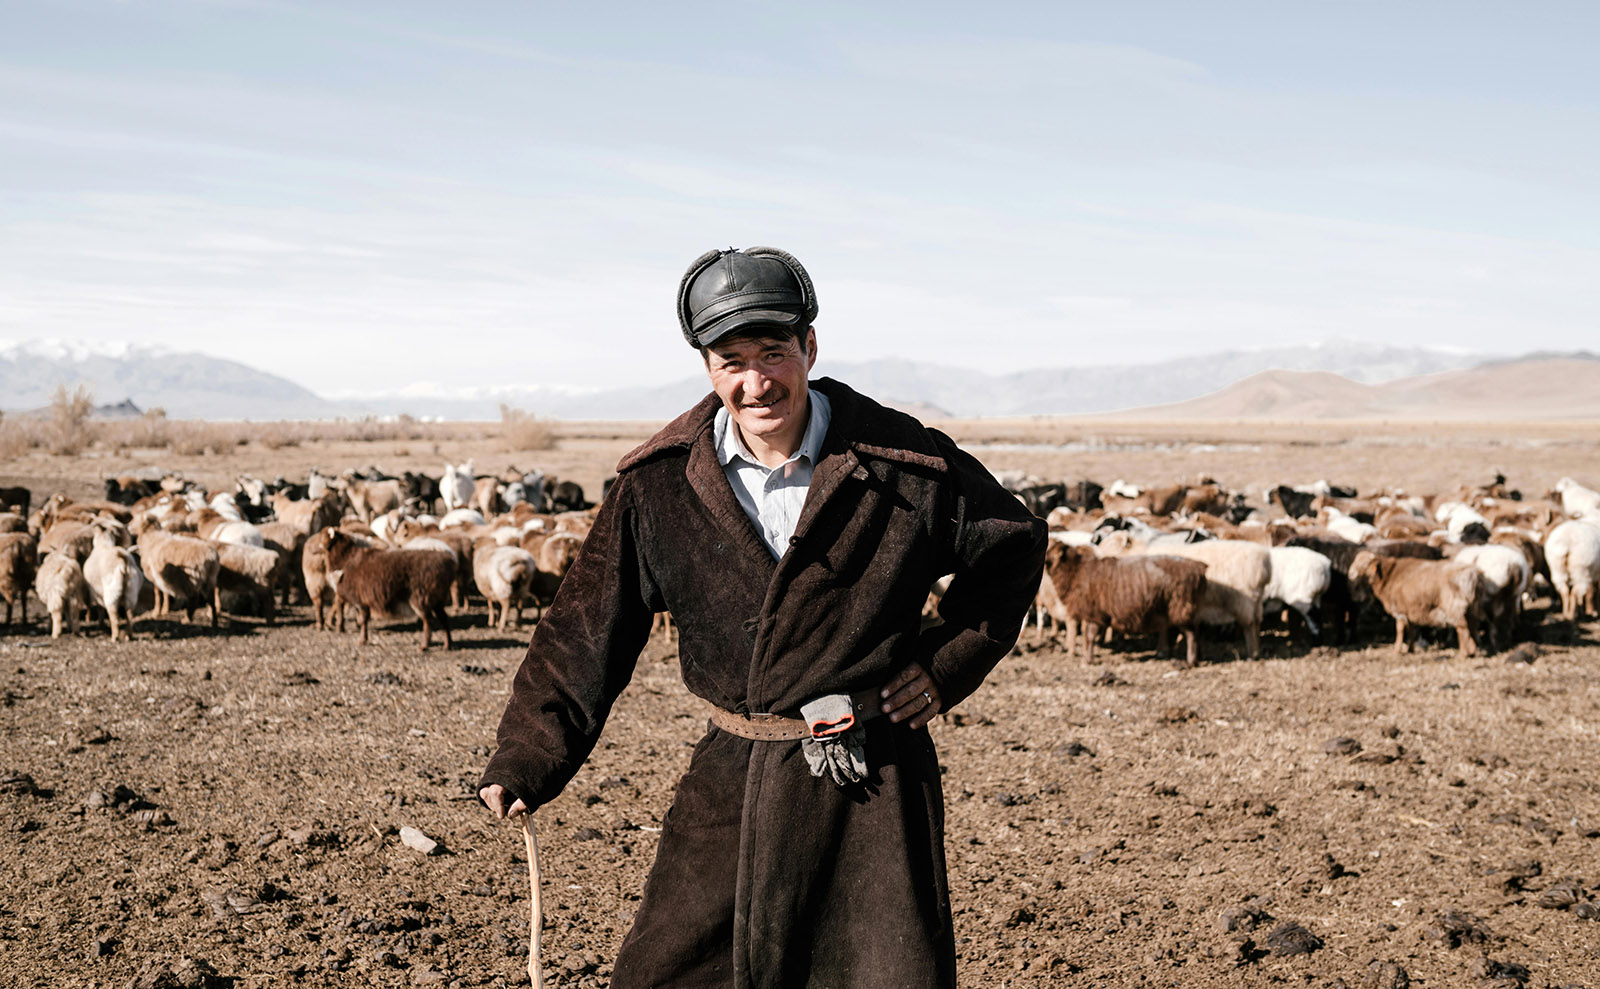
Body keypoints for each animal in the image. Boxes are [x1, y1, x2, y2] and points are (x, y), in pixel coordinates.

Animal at [321, 531, 454, 646]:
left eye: (325, 537)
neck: (347, 559)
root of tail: (449, 561)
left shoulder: (360, 601)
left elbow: (363, 620)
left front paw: (362, 640)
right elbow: (361, 619)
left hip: (421, 597)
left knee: (428, 621)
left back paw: (424, 646)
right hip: (436, 599)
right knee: (444, 619)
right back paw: (447, 645)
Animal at [1043, 537, 1203, 662]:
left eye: (1049, 545)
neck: (1076, 571)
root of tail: (1197, 568)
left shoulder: (1094, 612)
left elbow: (1089, 636)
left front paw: (1088, 659)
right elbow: (1087, 635)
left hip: (1180, 606)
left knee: (1191, 633)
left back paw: (1190, 660)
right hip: (1170, 608)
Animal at [1132, 537, 1267, 656]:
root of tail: (1264, 564)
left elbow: (1163, 628)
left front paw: (1162, 650)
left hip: (1243, 599)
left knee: (1249, 624)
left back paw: (1253, 653)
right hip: (1257, 599)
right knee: (1257, 621)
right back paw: (1258, 649)